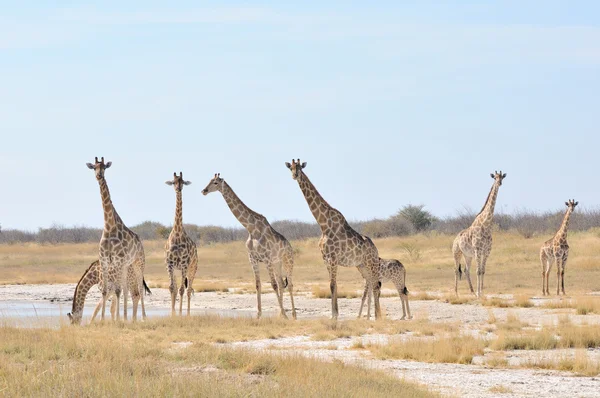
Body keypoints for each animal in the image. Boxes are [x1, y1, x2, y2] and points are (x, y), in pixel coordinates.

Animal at [86, 157, 147, 322]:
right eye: (94, 167)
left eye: (104, 167)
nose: (99, 175)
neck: (109, 227)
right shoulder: (106, 261)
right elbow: (106, 291)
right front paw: (103, 320)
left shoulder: (118, 261)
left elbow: (117, 290)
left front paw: (117, 320)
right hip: (127, 266)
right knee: (126, 289)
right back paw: (126, 318)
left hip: (138, 263)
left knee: (139, 289)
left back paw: (142, 317)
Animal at [202, 174, 296, 320]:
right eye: (210, 181)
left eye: (216, 182)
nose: (204, 190)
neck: (251, 228)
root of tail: (290, 247)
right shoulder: (253, 259)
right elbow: (258, 285)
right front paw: (258, 315)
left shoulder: (266, 259)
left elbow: (273, 285)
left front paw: (283, 314)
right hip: (277, 263)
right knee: (282, 283)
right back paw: (281, 314)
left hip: (287, 261)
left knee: (289, 285)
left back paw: (292, 315)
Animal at [284, 159, 380, 320]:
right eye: (290, 168)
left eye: (300, 168)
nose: (294, 175)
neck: (323, 224)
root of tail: (376, 250)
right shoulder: (326, 258)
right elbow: (332, 285)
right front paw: (334, 314)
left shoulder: (333, 258)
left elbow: (333, 285)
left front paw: (334, 315)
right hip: (361, 265)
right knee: (371, 283)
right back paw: (371, 315)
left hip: (371, 263)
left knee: (375, 284)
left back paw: (378, 315)